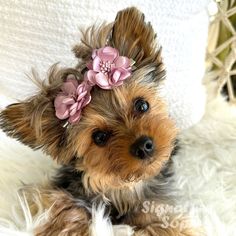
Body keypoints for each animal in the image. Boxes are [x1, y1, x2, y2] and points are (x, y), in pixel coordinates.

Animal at [0, 7, 200, 236]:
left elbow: (162, 221)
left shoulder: (157, 203)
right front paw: (74, 224)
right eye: (99, 137)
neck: (122, 186)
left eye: (142, 105)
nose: (143, 146)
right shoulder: (57, 190)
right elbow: (62, 203)